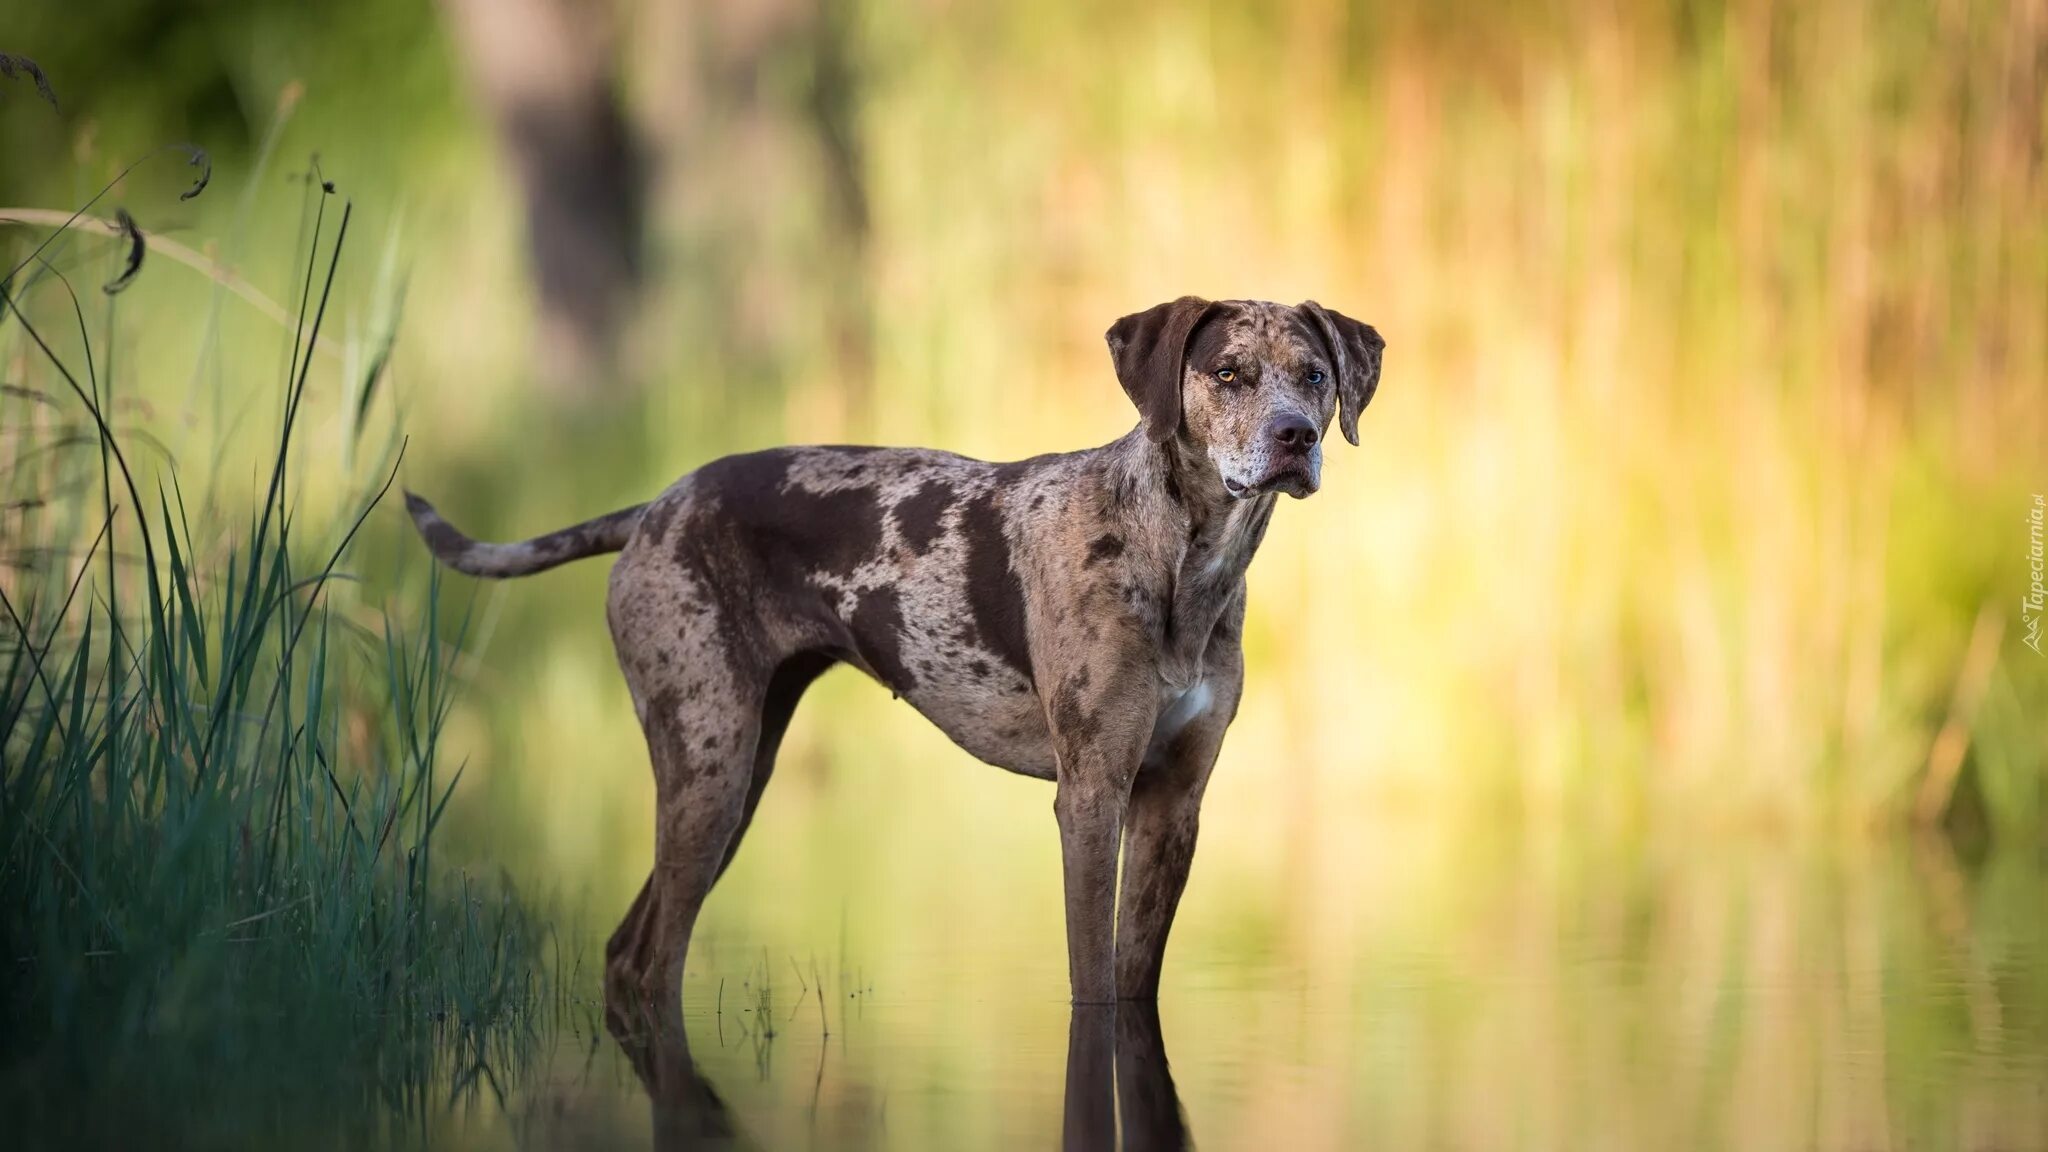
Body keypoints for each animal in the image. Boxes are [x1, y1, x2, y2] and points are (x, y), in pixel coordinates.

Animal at [407, 293, 1384, 1004]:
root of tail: (653, 507)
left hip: (735, 777)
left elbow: (1134, 982)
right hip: (706, 773)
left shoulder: (1173, 803)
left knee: (625, 950)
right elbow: (1092, 983)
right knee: (651, 958)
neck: (1182, 561)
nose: (1296, 436)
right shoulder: (1091, 796)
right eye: (1228, 372)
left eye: (1315, 375)